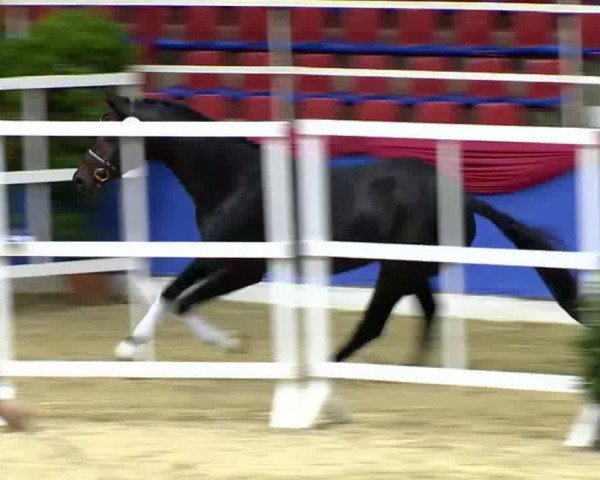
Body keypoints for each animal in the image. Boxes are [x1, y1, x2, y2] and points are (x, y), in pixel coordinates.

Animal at [71, 96, 580, 364]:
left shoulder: (238, 263)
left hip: (396, 270)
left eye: (108, 136)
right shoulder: (230, 261)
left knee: (375, 322)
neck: (236, 180)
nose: (80, 178)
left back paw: (330, 367)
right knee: (428, 311)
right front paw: (222, 341)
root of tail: (462, 196)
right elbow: (178, 296)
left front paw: (131, 345)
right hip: (409, 270)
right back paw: (412, 368)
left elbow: (175, 295)